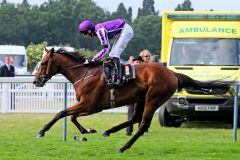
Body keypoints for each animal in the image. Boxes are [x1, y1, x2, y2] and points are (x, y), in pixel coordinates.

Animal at [33, 47, 231, 152]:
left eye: (42, 63)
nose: (35, 81)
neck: (84, 73)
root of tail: (172, 73)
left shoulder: (89, 104)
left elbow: (61, 113)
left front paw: (41, 131)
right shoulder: (89, 106)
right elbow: (72, 116)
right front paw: (88, 131)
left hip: (153, 99)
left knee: (142, 125)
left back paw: (123, 147)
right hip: (142, 98)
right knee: (135, 118)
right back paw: (109, 131)